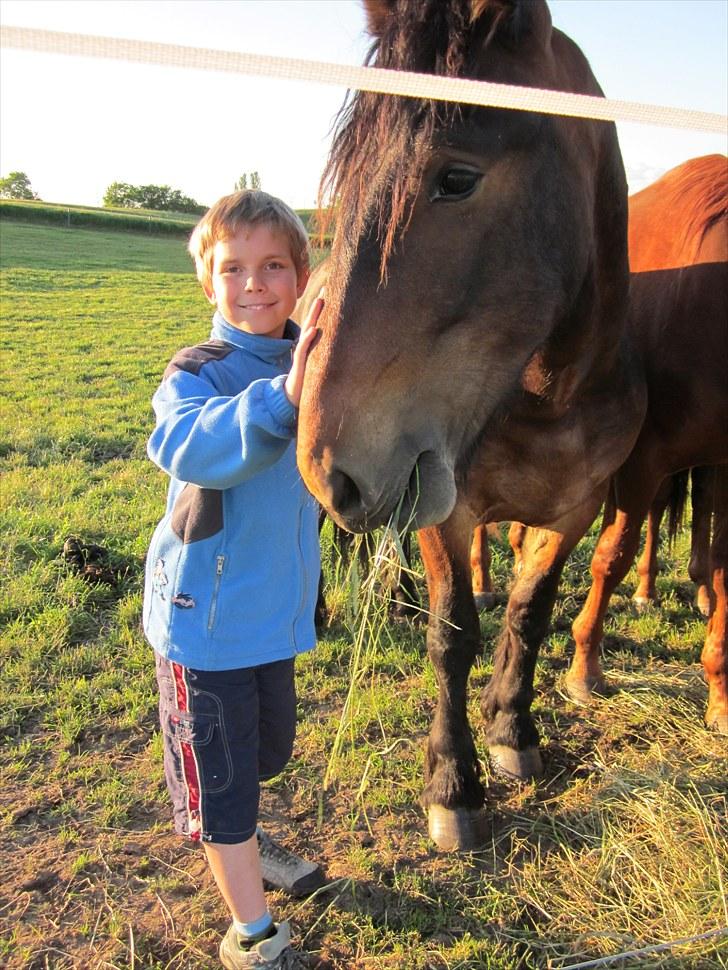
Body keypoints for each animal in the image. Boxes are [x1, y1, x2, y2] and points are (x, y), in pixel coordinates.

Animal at [296, 0, 644, 848]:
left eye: (456, 178)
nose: (330, 465)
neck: (551, 398)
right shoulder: (441, 505)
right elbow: (453, 634)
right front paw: (453, 784)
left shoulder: (575, 509)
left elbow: (529, 611)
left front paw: (514, 729)